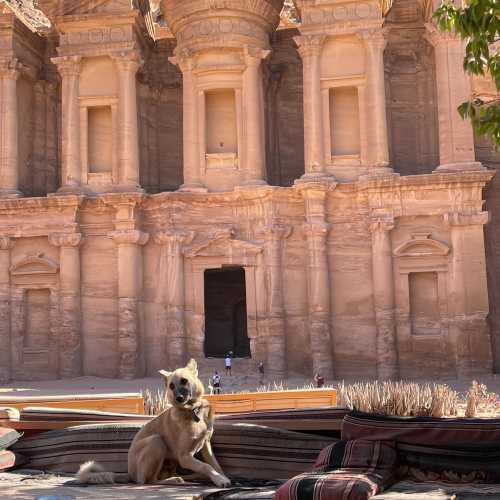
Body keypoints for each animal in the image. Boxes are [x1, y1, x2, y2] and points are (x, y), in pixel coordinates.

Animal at [77, 362, 231, 486]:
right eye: (171, 386)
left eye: (184, 381)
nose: (179, 398)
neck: (192, 410)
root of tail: (130, 473)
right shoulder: (184, 457)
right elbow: (206, 466)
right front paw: (220, 480)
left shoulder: (206, 445)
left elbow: (216, 466)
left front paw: (222, 477)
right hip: (156, 442)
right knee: (149, 480)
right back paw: (175, 480)